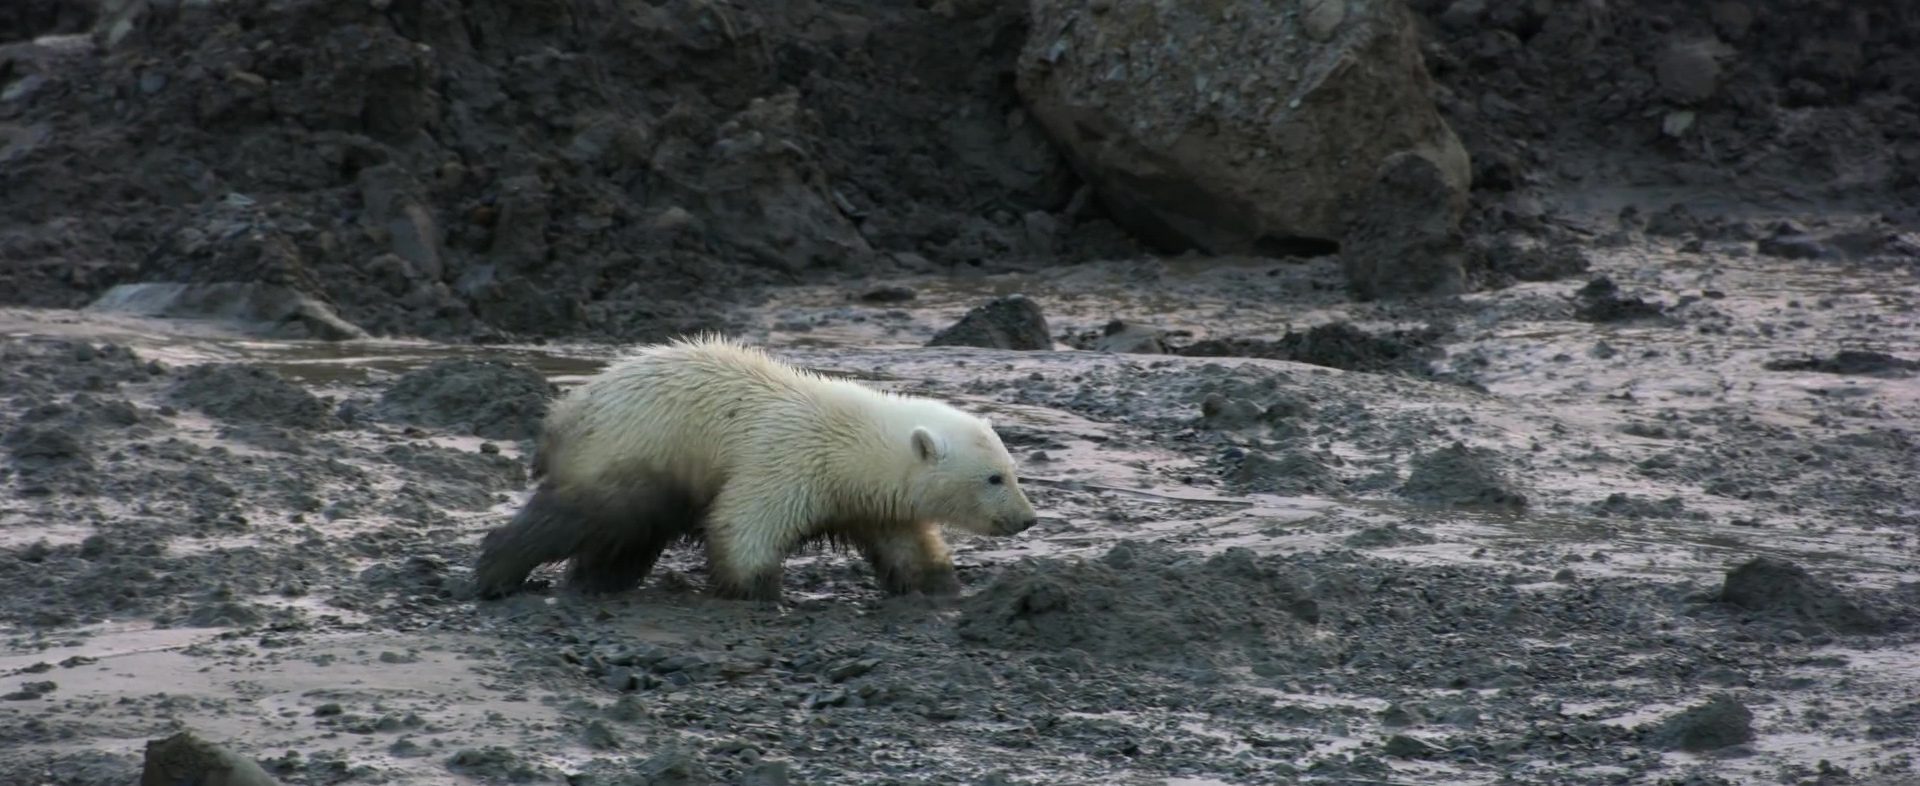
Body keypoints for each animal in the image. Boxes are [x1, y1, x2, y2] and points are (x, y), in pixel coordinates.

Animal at [470, 333, 1040, 602]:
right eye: (994, 477)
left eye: (1014, 470)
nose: (1027, 519)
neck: (851, 444)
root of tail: (563, 415)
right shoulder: (786, 460)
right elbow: (743, 527)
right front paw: (758, 593)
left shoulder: (872, 501)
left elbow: (908, 547)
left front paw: (941, 588)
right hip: (631, 449)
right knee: (582, 516)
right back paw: (498, 573)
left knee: (623, 540)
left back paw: (595, 583)